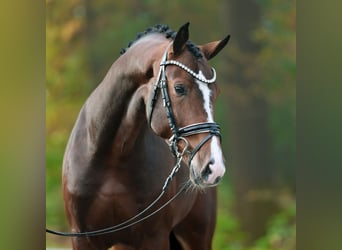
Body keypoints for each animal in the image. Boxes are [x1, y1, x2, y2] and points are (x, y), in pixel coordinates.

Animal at [62, 22, 230, 249]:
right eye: (179, 88)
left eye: (216, 92)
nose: (214, 166)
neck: (112, 157)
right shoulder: (83, 238)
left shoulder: (154, 237)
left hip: (196, 236)